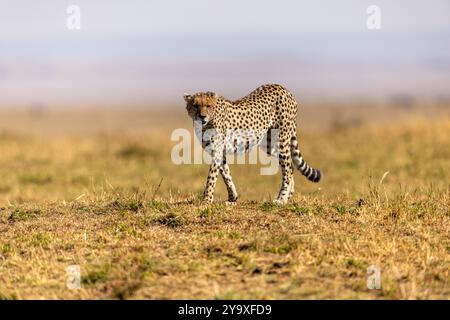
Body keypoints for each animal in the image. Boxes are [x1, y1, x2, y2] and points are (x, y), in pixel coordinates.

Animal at [184, 84, 324, 205]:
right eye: (195, 105)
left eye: (208, 105)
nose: (202, 116)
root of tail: (282, 87)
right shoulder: (218, 152)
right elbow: (226, 175)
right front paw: (232, 198)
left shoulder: (217, 151)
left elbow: (211, 178)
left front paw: (206, 201)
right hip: (269, 145)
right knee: (290, 165)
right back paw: (289, 194)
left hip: (282, 140)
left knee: (288, 169)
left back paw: (282, 199)